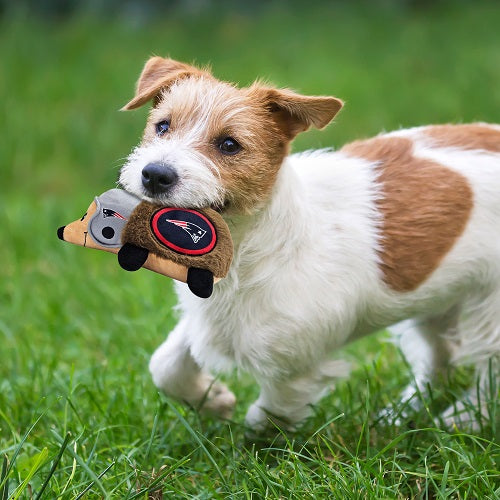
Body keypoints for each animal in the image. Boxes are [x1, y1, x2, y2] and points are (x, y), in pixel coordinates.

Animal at [118, 53, 500, 430]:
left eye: (229, 145)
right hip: (436, 300)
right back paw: (401, 415)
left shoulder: (295, 367)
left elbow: (267, 417)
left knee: (488, 370)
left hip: (489, 309)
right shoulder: (207, 320)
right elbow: (165, 365)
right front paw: (213, 400)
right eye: (162, 126)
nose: (155, 174)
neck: (246, 246)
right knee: (440, 357)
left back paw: (466, 418)